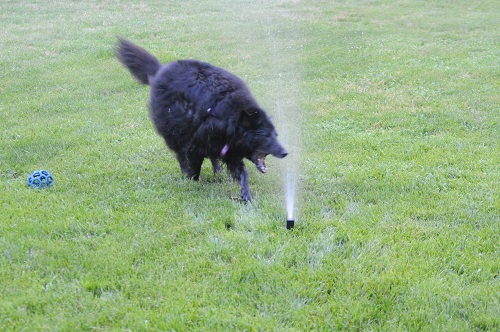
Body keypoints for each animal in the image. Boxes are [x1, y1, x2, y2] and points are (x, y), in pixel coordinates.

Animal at [115, 38, 288, 201]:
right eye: (264, 135)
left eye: (276, 135)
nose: (285, 152)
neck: (230, 116)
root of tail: (160, 70)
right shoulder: (196, 144)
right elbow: (194, 167)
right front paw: (191, 180)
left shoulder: (229, 149)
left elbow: (242, 174)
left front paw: (246, 196)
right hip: (175, 131)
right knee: (180, 154)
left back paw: (218, 172)